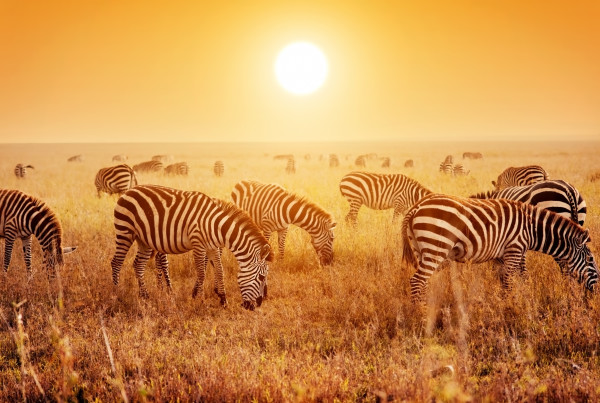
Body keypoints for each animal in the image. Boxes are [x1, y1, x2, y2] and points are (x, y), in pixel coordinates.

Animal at [110, 185, 272, 310]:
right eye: (261, 277)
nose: (257, 305)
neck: (215, 225)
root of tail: (129, 191)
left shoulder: (212, 247)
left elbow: (220, 271)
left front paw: (223, 300)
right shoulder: (198, 244)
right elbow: (201, 273)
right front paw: (200, 301)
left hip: (144, 240)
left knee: (138, 265)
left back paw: (145, 296)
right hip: (125, 231)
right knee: (116, 262)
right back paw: (116, 295)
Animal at [400, 193, 596, 304]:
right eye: (590, 260)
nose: (595, 292)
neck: (531, 228)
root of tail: (417, 206)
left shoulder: (504, 255)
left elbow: (511, 279)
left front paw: (515, 301)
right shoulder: (515, 248)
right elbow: (510, 282)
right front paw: (509, 308)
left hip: (421, 249)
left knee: (423, 282)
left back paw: (425, 308)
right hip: (436, 247)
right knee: (417, 281)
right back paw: (420, 314)